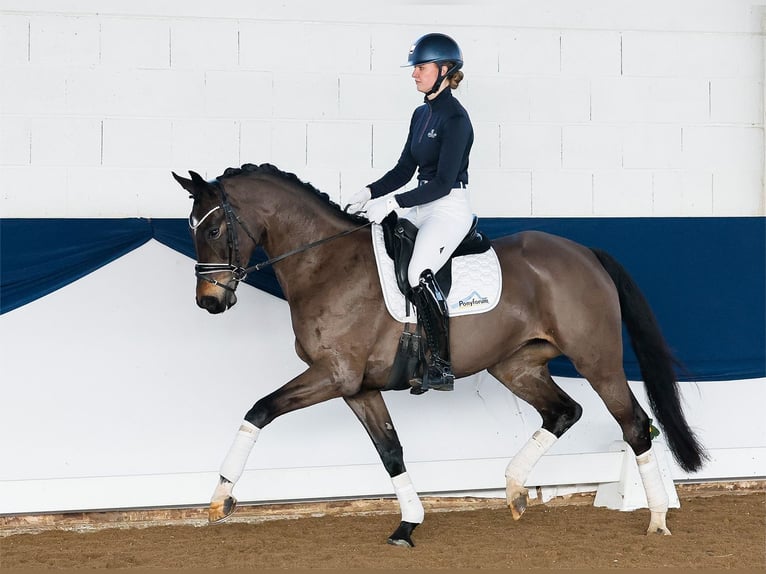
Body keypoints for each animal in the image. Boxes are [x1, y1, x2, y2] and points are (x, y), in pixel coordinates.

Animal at [172, 163, 708, 548]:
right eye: (191, 228)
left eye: (214, 230)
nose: (209, 301)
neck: (324, 263)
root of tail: (584, 252)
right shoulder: (358, 387)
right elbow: (390, 451)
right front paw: (408, 524)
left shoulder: (333, 375)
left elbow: (259, 410)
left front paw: (220, 498)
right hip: (515, 365)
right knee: (564, 410)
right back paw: (515, 489)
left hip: (597, 361)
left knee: (635, 424)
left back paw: (657, 519)